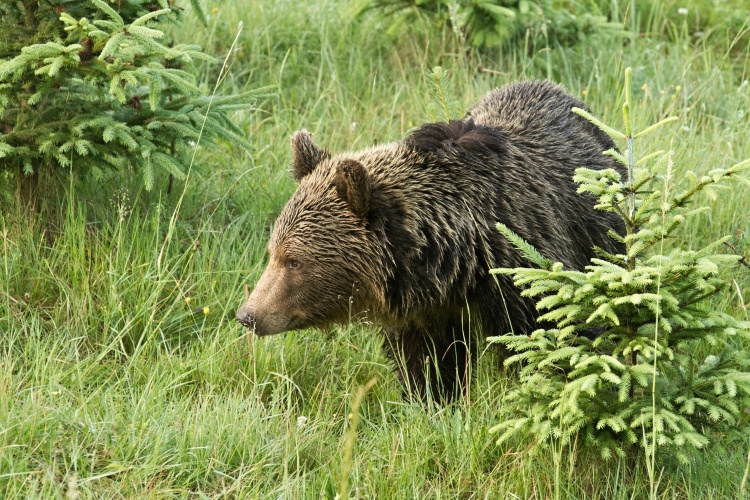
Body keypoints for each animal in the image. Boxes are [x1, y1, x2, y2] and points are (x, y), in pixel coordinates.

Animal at [238, 82, 624, 402]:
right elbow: (428, 364)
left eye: (294, 260)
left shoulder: (525, 275)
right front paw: (435, 402)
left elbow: (554, 340)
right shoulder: (424, 313)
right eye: (273, 253)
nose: (248, 315)